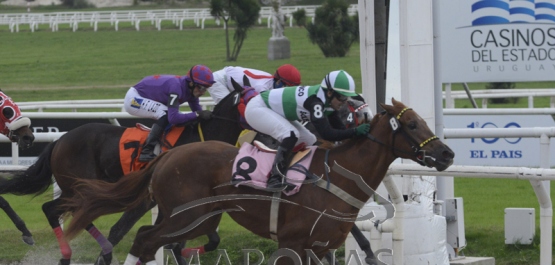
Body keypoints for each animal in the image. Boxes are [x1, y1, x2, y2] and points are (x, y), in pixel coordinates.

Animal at [0, 83, 245, 264]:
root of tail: (60, 141)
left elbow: (181, 239)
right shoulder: (149, 199)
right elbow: (122, 230)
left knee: (65, 211)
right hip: (82, 186)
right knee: (63, 210)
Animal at [63, 97, 454, 264]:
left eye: (422, 120)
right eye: (412, 124)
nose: (447, 154)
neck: (337, 176)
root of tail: (167, 155)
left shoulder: (320, 247)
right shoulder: (293, 242)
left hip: (197, 218)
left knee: (148, 240)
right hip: (185, 215)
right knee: (145, 240)